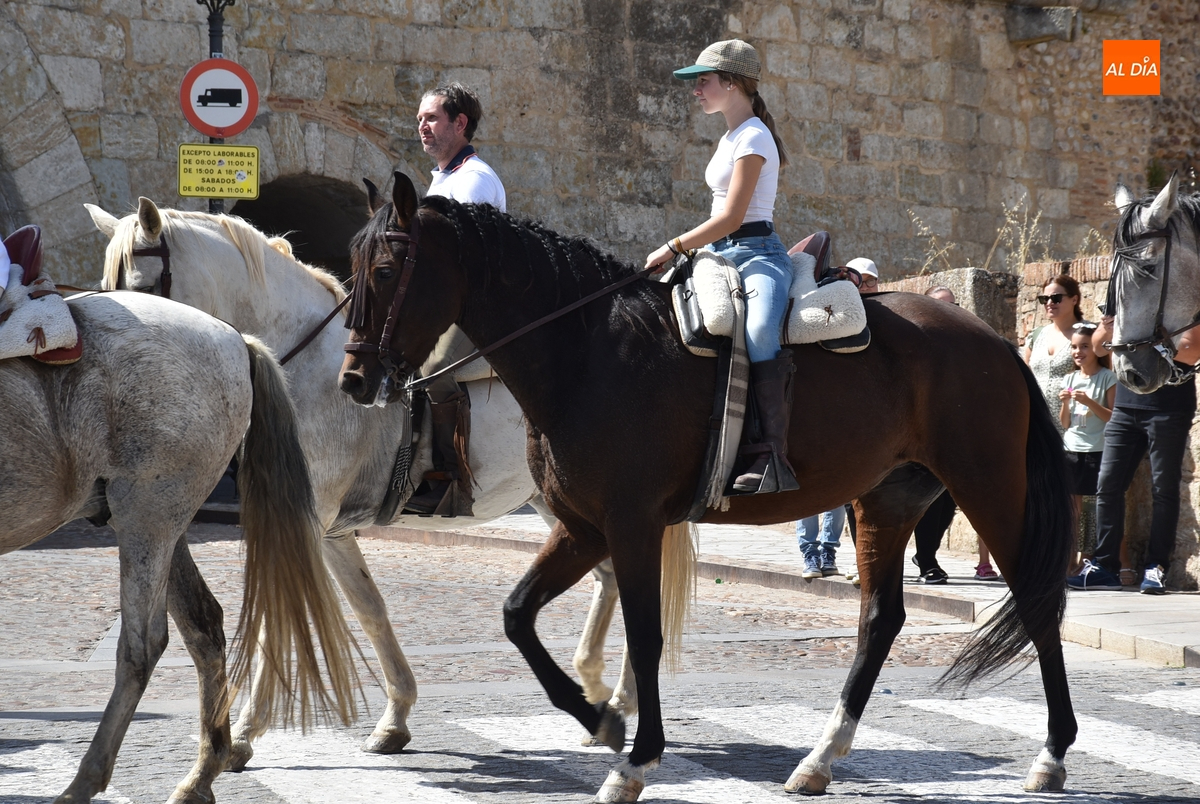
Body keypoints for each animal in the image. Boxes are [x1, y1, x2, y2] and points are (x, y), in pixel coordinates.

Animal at [0, 262, 356, 801]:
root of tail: (234, 338)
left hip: (146, 517)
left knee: (142, 645)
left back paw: (86, 781)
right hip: (164, 520)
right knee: (203, 624)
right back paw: (202, 773)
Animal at [85, 199, 637, 765]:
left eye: (142, 287)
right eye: (106, 290)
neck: (305, 367)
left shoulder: (302, 525)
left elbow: (278, 618)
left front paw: (241, 733)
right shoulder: (332, 532)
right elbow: (370, 609)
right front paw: (395, 717)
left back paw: (618, 700)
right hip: (559, 503)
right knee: (611, 578)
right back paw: (601, 697)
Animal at [338, 172, 1077, 802]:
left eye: (384, 271)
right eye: (350, 267)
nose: (352, 378)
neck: (587, 353)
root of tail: (992, 340)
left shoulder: (632, 524)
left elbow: (644, 636)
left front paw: (634, 759)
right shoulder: (583, 527)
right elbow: (517, 615)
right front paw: (600, 720)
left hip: (988, 487)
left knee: (1037, 602)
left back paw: (1052, 754)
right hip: (887, 501)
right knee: (880, 620)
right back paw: (819, 758)